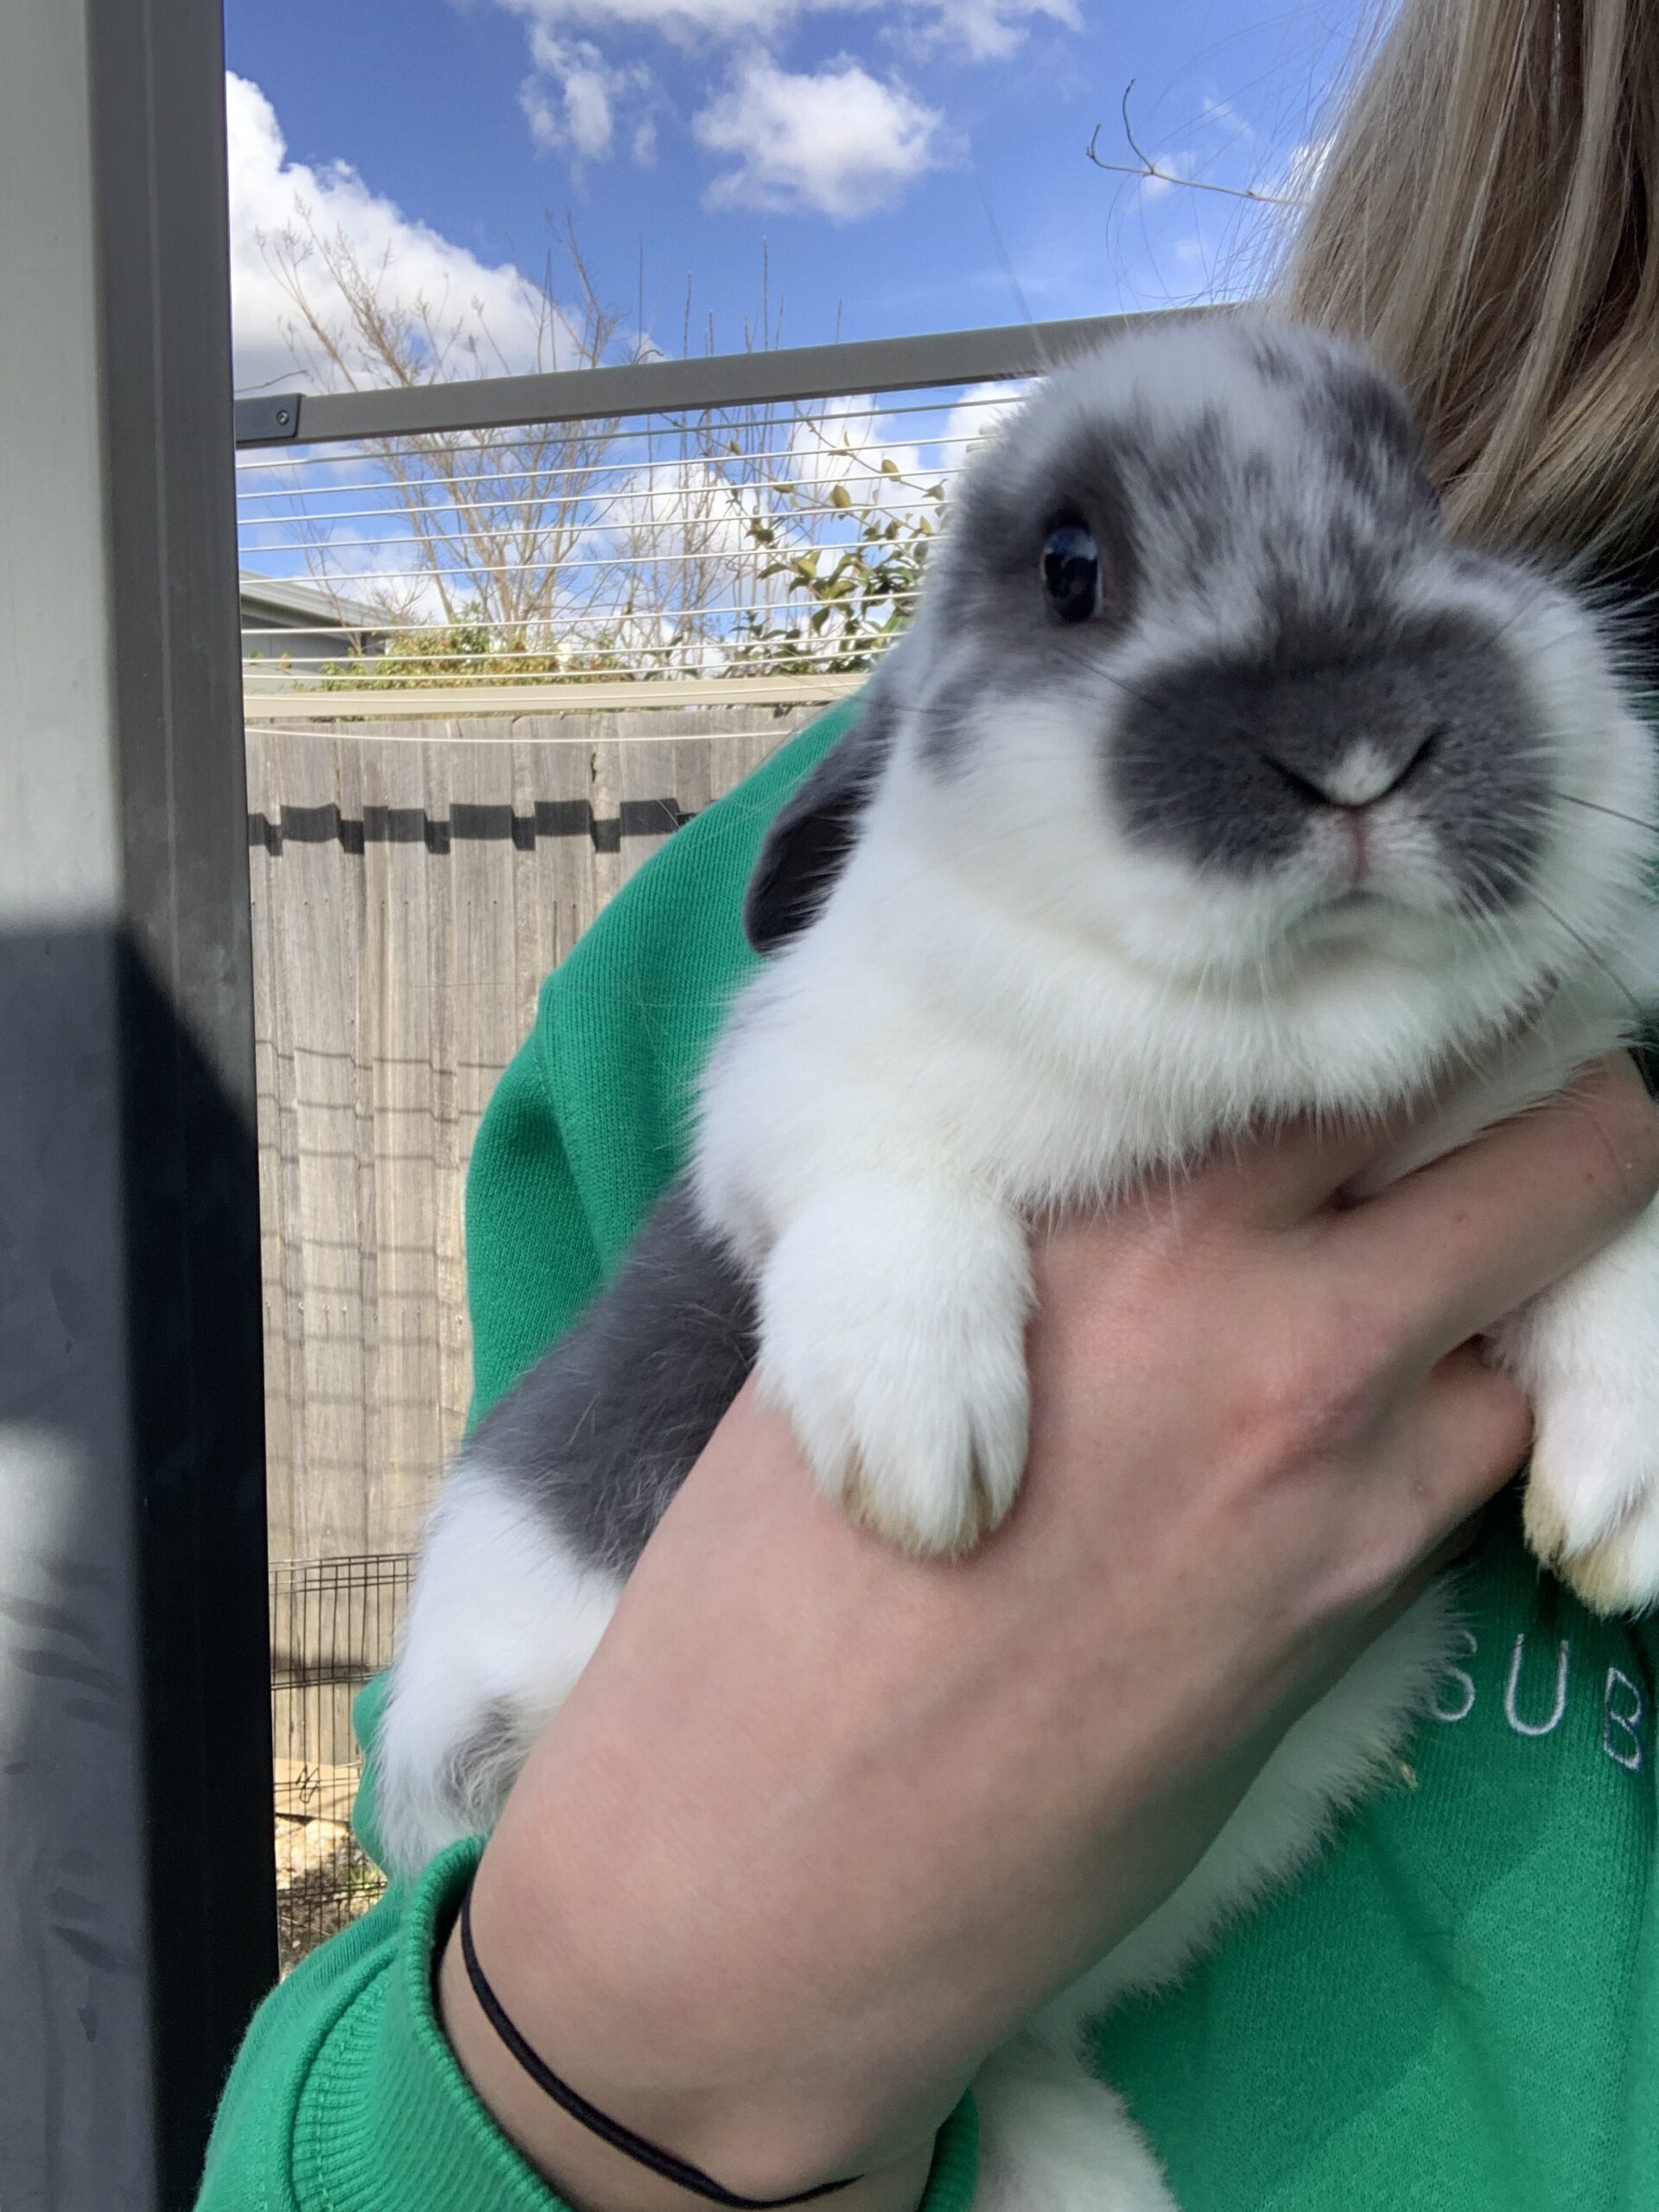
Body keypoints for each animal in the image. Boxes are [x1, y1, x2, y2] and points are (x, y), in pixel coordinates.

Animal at [376, 321, 1659, 2212]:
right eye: (1072, 570)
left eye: (1431, 494)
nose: (1361, 743)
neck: (1290, 1027)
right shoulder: (796, 1099)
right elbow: (893, 1192)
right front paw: (925, 1453)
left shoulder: (1538, 1111)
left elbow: (1612, 1251)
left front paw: (1623, 1497)